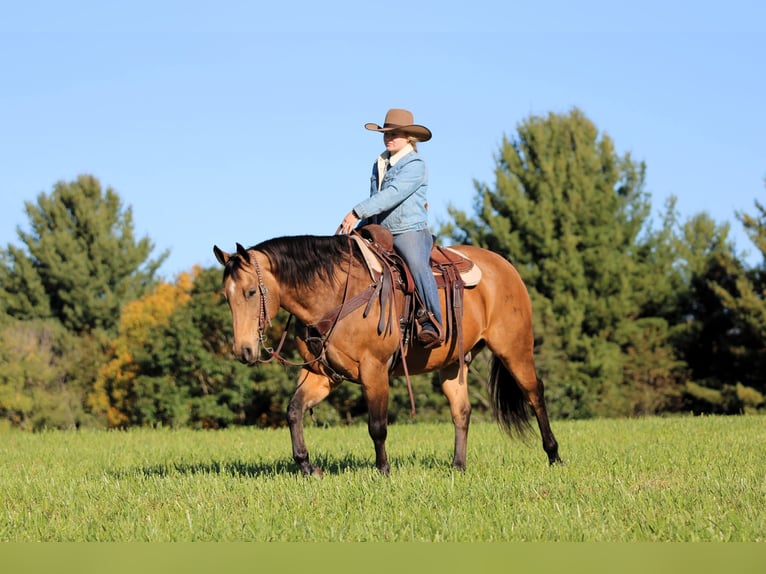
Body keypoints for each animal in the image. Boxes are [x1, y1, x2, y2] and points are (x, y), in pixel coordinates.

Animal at [213, 233, 561, 476]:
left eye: (251, 292)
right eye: (226, 297)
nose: (244, 351)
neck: (336, 293)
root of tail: (505, 267)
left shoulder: (374, 370)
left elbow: (377, 425)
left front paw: (383, 471)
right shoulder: (322, 374)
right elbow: (294, 411)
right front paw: (307, 467)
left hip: (514, 349)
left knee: (535, 394)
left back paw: (554, 455)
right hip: (454, 364)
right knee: (461, 411)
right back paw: (458, 467)